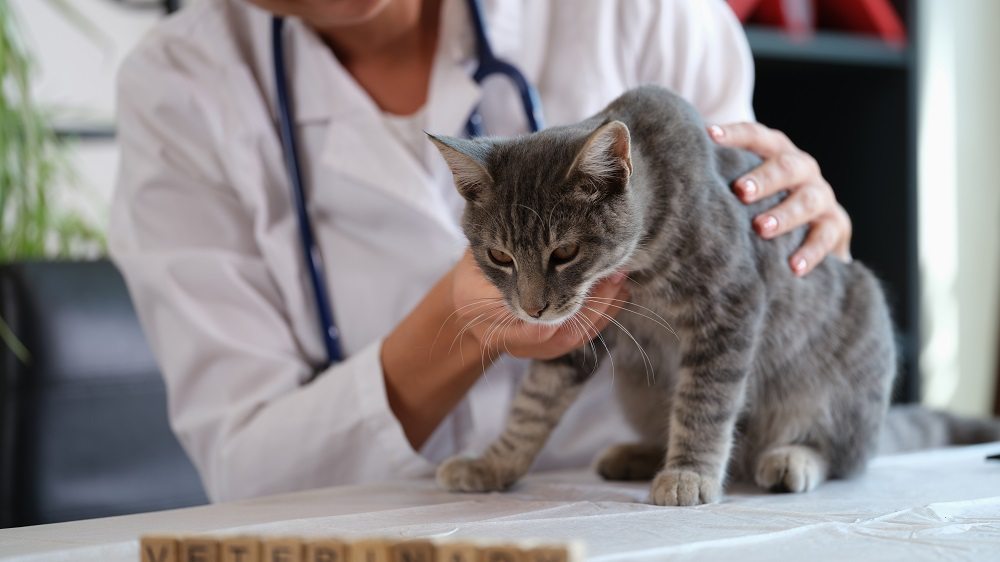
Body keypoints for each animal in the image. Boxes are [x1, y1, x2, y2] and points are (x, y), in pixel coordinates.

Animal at [426, 86, 896, 504]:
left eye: (564, 252)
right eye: (499, 256)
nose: (532, 309)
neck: (640, 265)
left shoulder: (730, 304)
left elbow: (704, 401)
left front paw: (690, 473)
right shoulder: (581, 333)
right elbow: (533, 404)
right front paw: (494, 464)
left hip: (847, 366)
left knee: (845, 453)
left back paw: (792, 458)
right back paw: (636, 455)